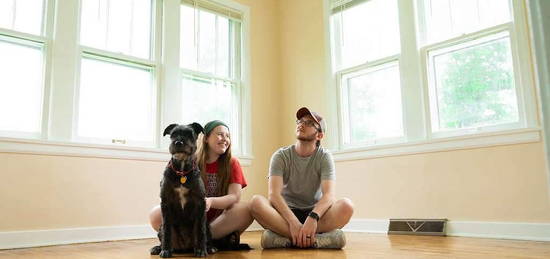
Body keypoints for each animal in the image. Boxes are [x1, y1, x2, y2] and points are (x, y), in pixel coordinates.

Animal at [152, 123, 219, 258]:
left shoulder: (200, 203)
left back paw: (209, 248)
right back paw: (158, 248)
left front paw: (201, 250)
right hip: (161, 229)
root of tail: (184, 248)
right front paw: (165, 250)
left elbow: (200, 231)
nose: (178, 142)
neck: (182, 172)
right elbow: (167, 230)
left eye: (189, 134)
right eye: (173, 134)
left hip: (207, 226)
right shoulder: (165, 203)